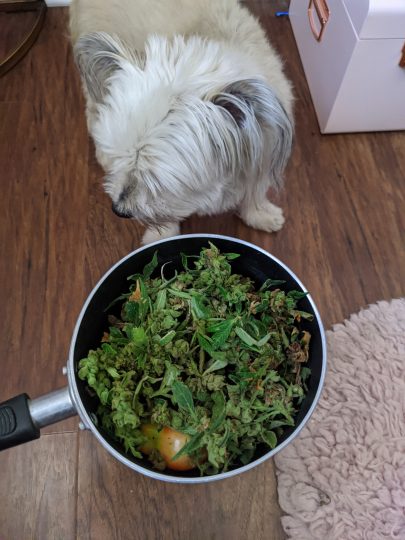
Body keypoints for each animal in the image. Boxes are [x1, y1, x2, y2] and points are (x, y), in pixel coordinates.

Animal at [70, 0, 293, 244]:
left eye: (156, 179)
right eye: (119, 160)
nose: (118, 210)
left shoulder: (265, 149)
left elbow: (255, 189)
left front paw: (260, 214)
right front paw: (162, 235)